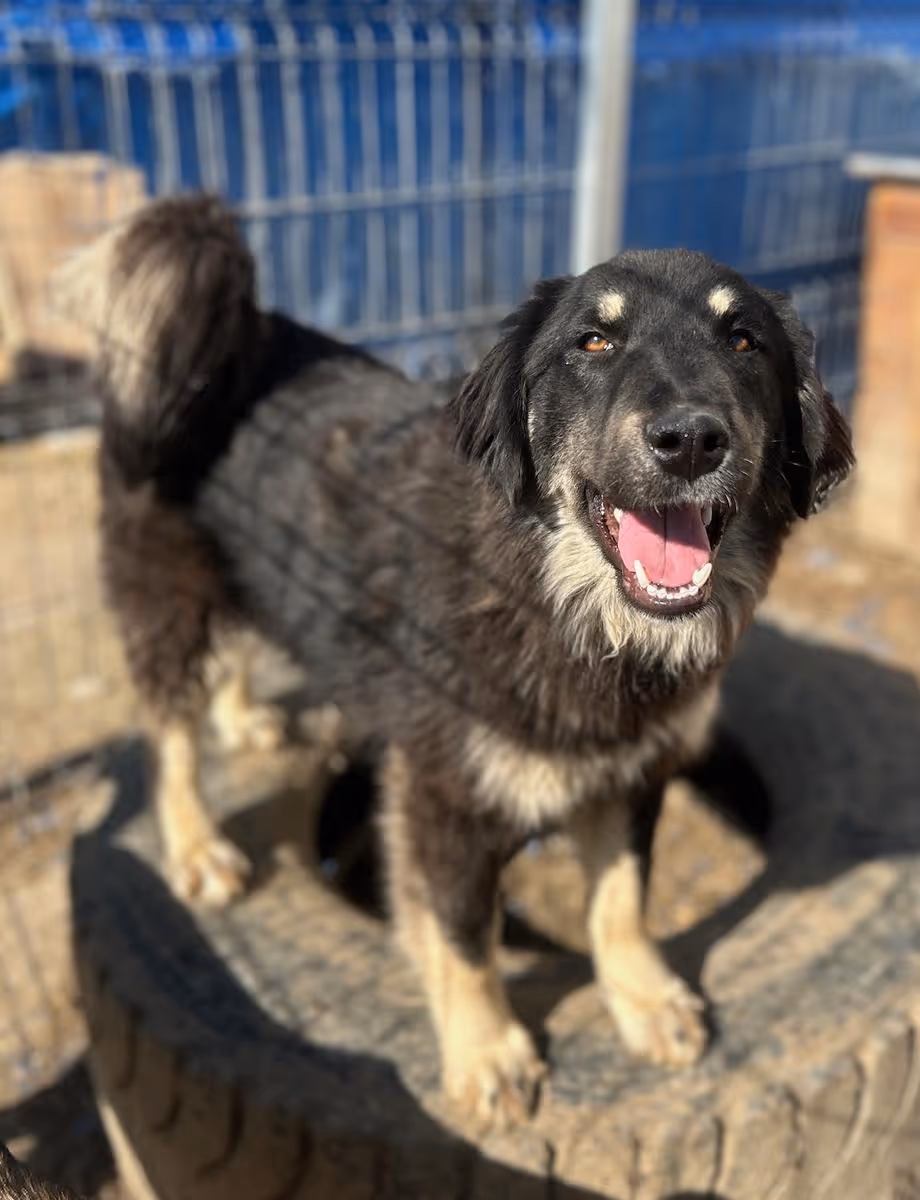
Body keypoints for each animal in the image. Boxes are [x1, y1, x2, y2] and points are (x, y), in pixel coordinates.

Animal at [62, 194, 853, 1129]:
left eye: (745, 343)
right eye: (593, 342)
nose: (692, 439)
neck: (569, 612)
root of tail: (234, 328)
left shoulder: (632, 773)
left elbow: (623, 902)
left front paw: (644, 999)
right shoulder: (444, 797)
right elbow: (465, 935)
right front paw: (487, 1051)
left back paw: (245, 719)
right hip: (168, 598)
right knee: (169, 734)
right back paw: (195, 844)